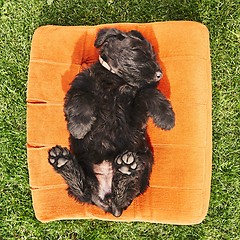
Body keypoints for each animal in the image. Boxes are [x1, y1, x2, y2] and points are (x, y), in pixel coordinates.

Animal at [47, 27, 175, 217]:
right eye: (137, 50)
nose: (159, 74)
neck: (115, 79)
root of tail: (106, 200)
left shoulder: (134, 118)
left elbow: (148, 93)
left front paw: (166, 117)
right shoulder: (80, 85)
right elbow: (82, 98)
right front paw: (79, 127)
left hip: (144, 160)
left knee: (123, 191)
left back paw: (125, 168)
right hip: (86, 168)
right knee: (82, 190)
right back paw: (63, 161)